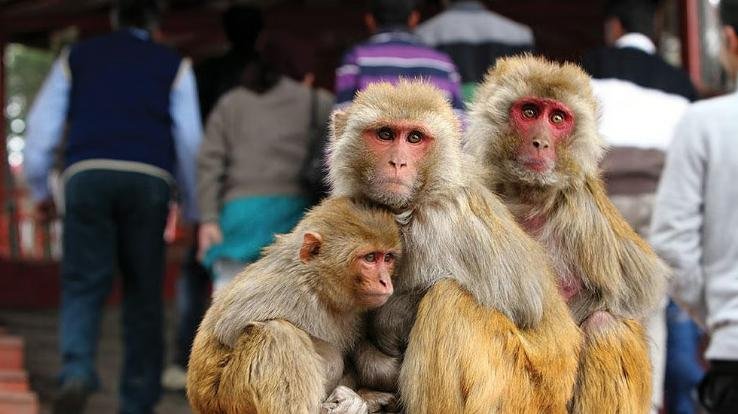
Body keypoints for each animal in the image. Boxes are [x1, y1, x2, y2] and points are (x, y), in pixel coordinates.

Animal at [186, 196, 402, 414]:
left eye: (387, 258)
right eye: (370, 258)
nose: (385, 282)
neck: (317, 285)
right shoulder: (287, 292)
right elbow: (228, 327)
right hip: (230, 399)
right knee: (277, 332)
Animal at [317, 80, 583, 413]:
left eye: (414, 138)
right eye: (386, 134)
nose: (398, 162)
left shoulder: (442, 221)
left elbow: (524, 303)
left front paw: (386, 325)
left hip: (522, 390)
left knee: (447, 299)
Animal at [465, 55, 670, 413]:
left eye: (558, 118)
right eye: (529, 111)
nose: (541, 142)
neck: (527, 199)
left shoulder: (583, 214)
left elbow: (635, 293)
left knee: (607, 325)